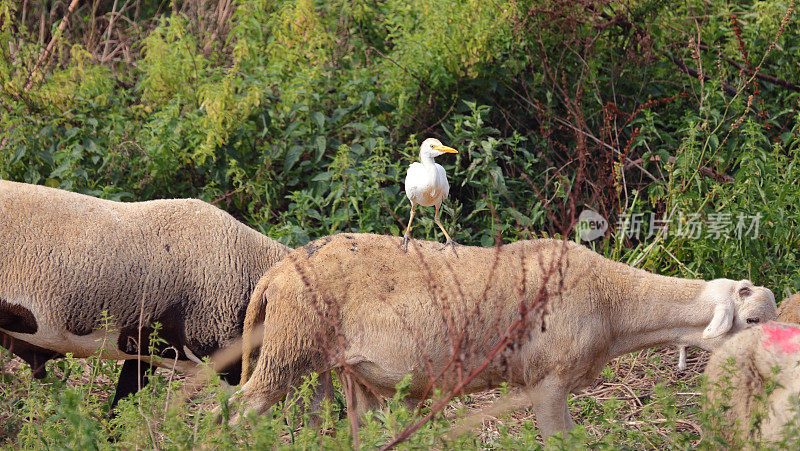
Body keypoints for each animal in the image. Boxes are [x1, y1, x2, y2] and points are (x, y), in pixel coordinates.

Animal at [238, 233, 776, 438]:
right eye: (752, 322)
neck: (614, 303)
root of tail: (278, 271)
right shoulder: (548, 380)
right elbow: (562, 442)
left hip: (334, 368)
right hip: (289, 348)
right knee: (239, 408)